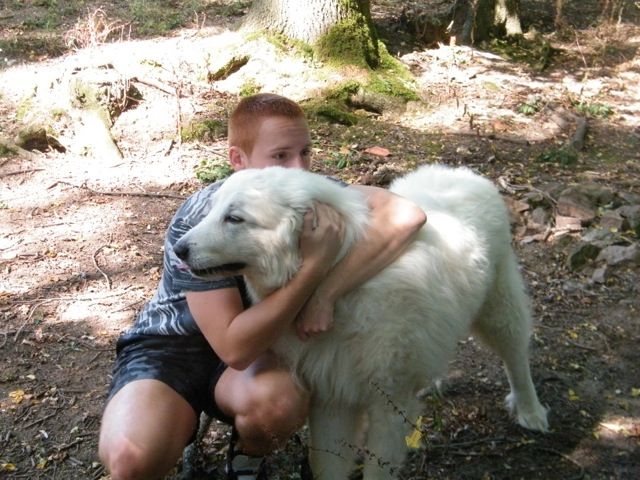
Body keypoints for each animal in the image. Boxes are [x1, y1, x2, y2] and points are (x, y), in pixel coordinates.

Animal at [176, 165, 552, 480]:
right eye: (212, 211)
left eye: (234, 218)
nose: (178, 249)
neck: (336, 281)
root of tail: (463, 173)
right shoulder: (332, 397)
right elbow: (328, 468)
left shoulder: (388, 406)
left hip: (500, 310)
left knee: (516, 356)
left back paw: (531, 411)